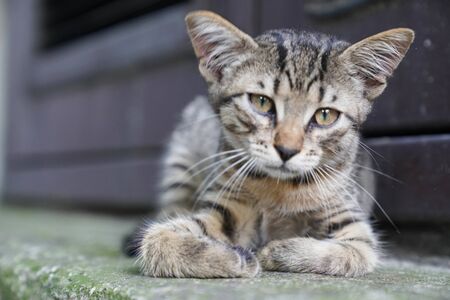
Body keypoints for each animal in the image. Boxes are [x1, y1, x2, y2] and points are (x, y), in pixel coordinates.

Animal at [131, 11, 414, 278]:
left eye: (325, 115)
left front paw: (279, 250)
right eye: (261, 102)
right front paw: (233, 258)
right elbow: (156, 238)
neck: (279, 189)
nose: (287, 150)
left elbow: (349, 253)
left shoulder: (353, 225)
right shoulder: (225, 206)